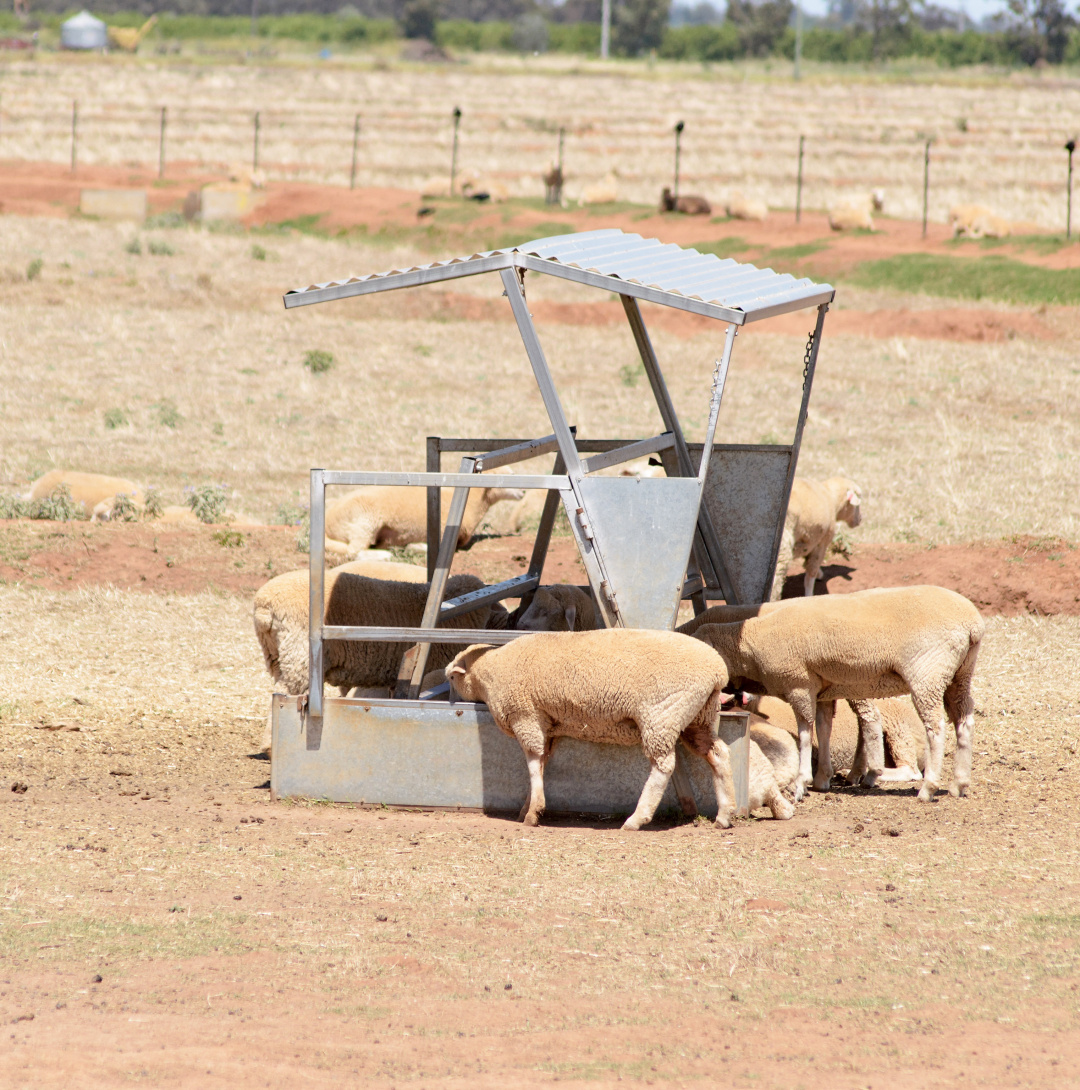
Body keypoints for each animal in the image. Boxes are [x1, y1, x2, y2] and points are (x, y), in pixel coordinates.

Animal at [322, 481, 525, 558]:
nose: (524, 491)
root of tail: (328, 521)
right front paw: (416, 547)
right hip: (364, 521)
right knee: (352, 551)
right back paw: (385, 555)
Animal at [440, 627, 736, 828]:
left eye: (453, 677)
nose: (449, 697)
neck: (490, 672)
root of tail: (717, 670)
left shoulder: (527, 716)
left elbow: (533, 763)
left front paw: (533, 812)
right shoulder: (548, 725)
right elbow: (543, 762)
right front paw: (528, 806)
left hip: (662, 714)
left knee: (663, 766)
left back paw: (637, 818)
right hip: (698, 717)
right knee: (718, 754)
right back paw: (724, 814)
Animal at [693, 588, 989, 802]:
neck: (750, 644)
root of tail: (973, 624)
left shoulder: (799, 685)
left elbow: (804, 733)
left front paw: (801, 782)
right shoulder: (825, 689)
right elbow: (824, 730)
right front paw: (822, 778)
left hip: (927, 673)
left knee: (935, 728)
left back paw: (928, 788)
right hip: (960, 675)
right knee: (964, 722)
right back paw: (959, 784)